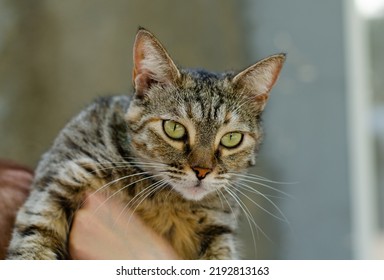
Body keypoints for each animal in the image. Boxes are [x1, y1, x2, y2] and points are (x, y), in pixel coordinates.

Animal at [6, 27, 284, 260]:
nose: (202, 171)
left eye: (231, 138)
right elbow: (32, 246)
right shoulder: (60, 180)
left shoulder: (219, 230)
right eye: (174, 129)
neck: (166, 199)